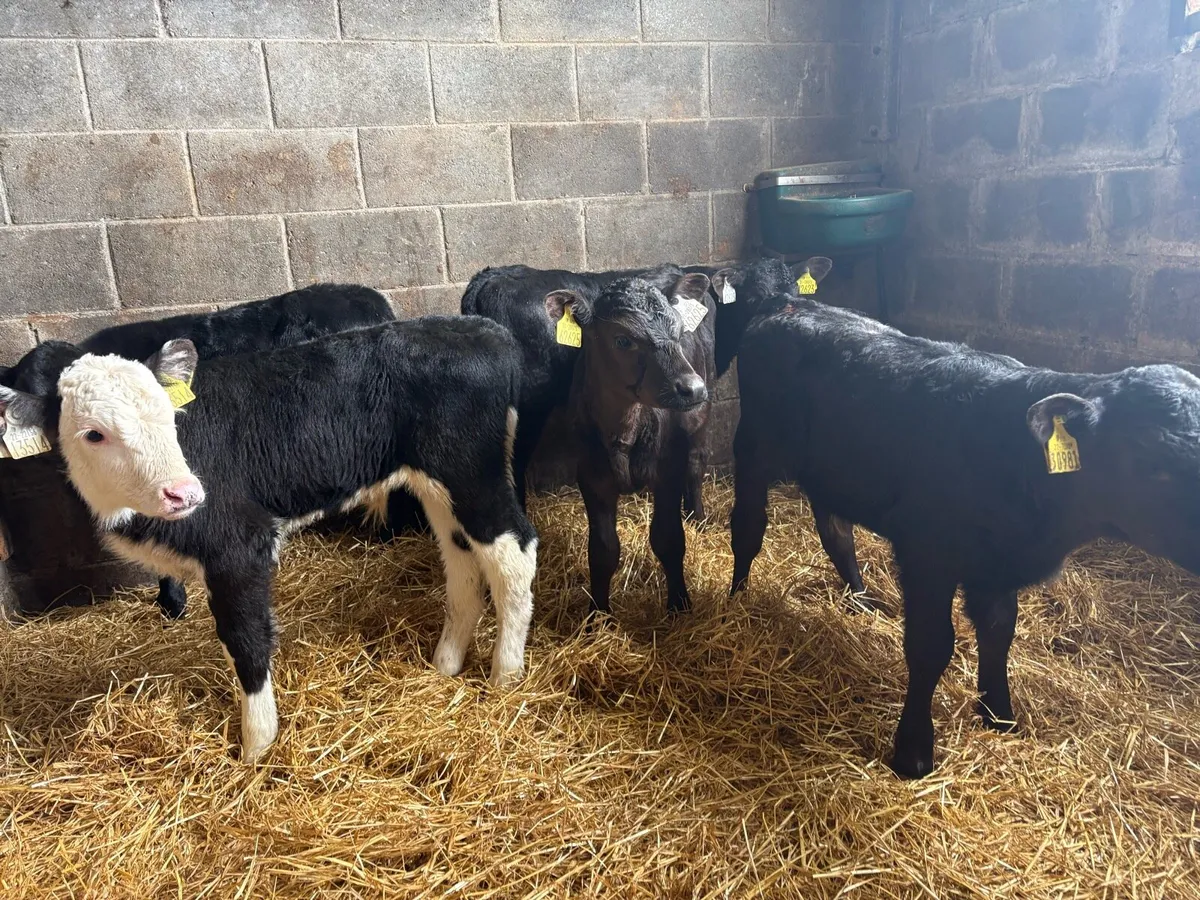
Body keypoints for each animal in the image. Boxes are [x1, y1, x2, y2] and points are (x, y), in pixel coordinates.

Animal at [543, 272, 713, 617]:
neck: (624, 429)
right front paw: (598, 614)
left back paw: (697, 517)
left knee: (696, 465)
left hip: (699, 422)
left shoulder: (668, 469)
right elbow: (603, 550)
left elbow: (668, 538)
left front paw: (679, 604)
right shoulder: (591, 475)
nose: (693, 388)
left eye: (678, 332)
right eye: (623, 340)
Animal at [729, 297, 1200, 778]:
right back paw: (737, 601)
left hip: (832, 471)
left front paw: (1000, 716)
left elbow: (999, 632)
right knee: (748, 526)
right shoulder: (927, 554)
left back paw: (860, 601)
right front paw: (913, 752)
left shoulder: (995, 566)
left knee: (837, 534)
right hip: (752, 445)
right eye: (1151, 461)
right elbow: (931, 644)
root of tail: (789, 304)